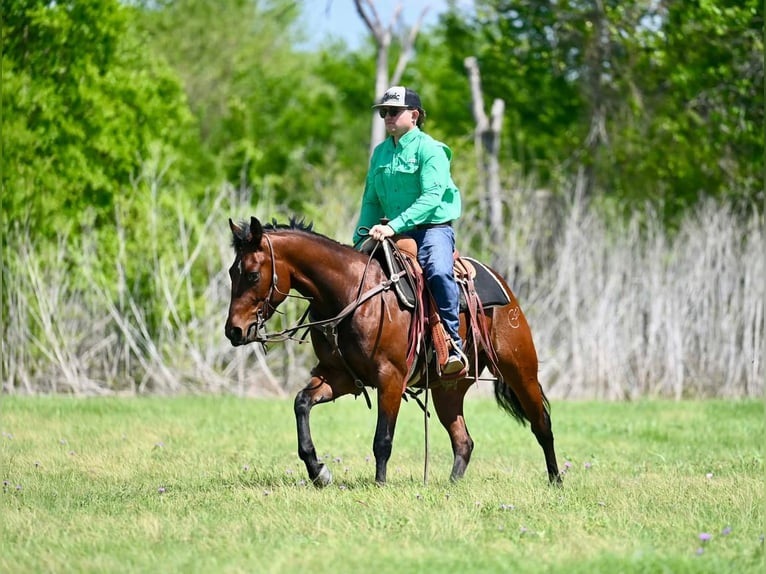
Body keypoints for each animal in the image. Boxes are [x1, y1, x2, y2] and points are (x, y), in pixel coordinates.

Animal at [225, 216, 561, 487]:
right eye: (231, 272)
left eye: (253, 274)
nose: (234, 331)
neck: (353, 294)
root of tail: (504, 286)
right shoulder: (338, 376)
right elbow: (301, 404)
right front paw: (318, 471)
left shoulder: (390, 378)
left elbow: (382, 439)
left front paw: (379, 484)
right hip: (448, 389)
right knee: (463, 441)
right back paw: (451, 485)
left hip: (521, 371)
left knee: (542, 423)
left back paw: (556, 480)